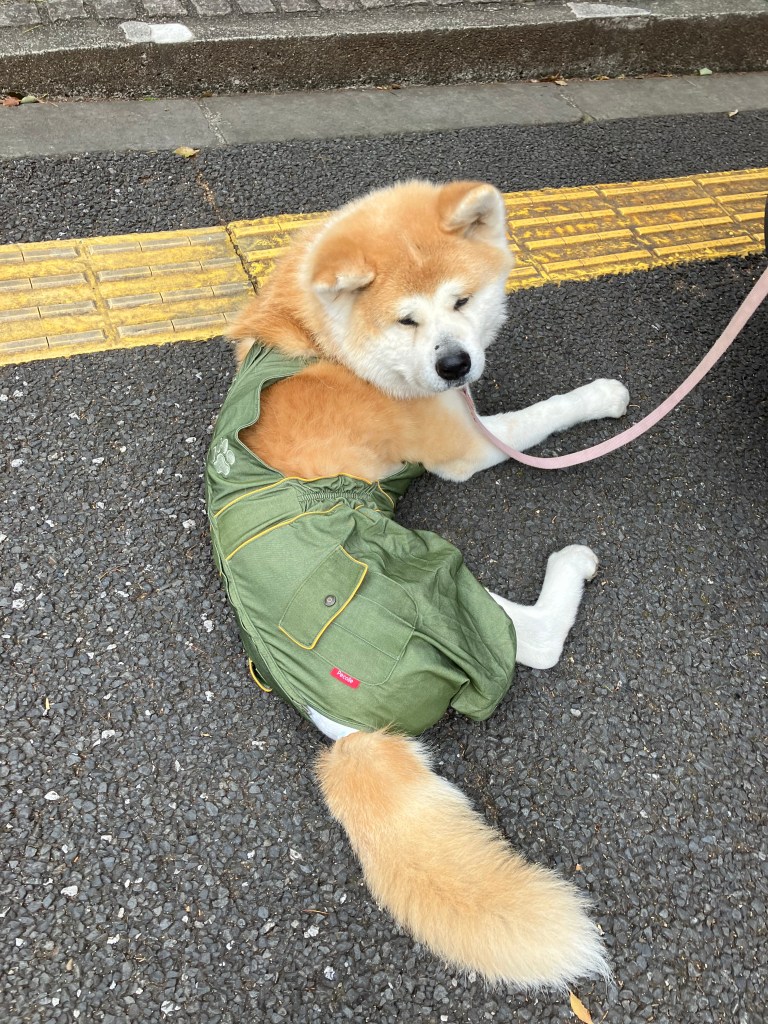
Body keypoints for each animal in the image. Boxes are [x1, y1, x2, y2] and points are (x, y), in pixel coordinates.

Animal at [206, 180, 629, 990]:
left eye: (461, 301)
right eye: (407, 318)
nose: (457, 366)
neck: (326, 341)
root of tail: (345, 728)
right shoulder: (463, 444)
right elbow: (545, 412)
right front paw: (600, 396)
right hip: (426, 579)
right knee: (533, 639)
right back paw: (570, 565)